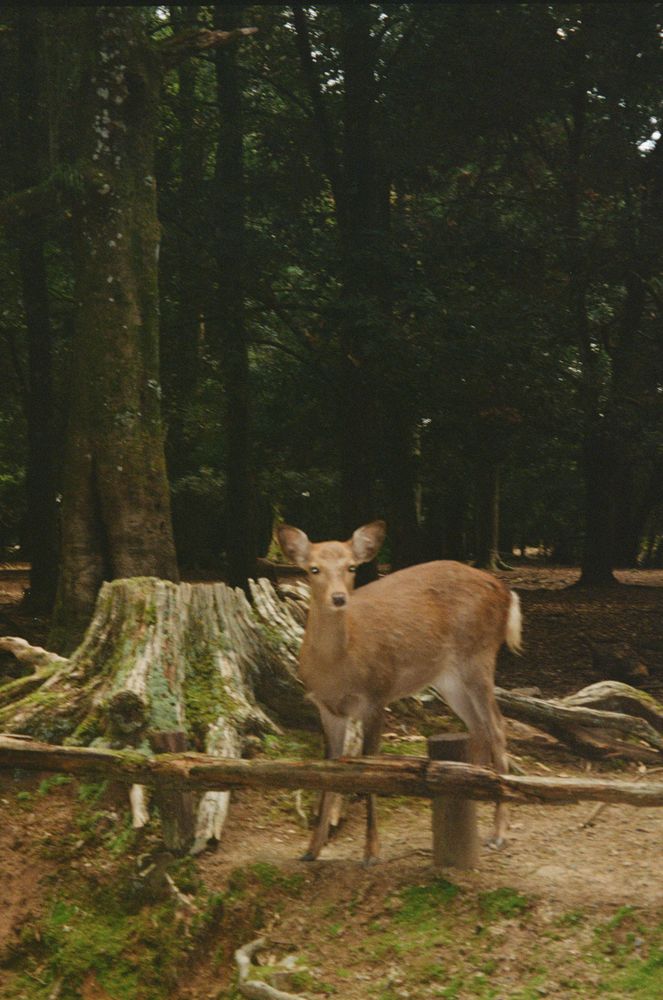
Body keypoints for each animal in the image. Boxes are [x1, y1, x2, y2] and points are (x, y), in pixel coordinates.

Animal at [277, 519, 522, 864]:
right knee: (478, 727)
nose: (339, 598)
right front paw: (312, 850)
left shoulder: (376, 696)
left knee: (498, 727)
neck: (337, 669)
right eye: (313, 568)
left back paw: (498, 833)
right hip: (448, 677)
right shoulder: (326, 707)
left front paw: (371, 852)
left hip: (479, 655)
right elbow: (329, 768)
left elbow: (369, 770)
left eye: (351, 567)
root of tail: (506, 591)